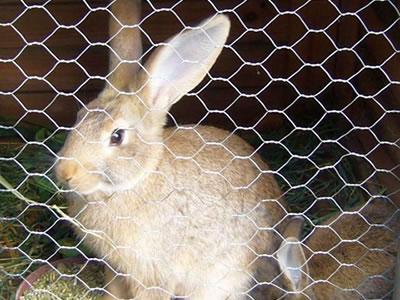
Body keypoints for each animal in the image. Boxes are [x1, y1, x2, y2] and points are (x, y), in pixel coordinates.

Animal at [54, 1, 288, 298]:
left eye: (117, 136)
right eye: (79, 117)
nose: (65, 172)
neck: (136, 181)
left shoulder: (152, 275)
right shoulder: (116, 269)